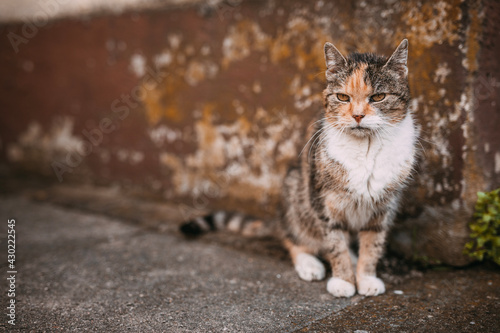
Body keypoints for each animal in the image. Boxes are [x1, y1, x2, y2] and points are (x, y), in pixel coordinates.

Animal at [180, 40, 418, 296]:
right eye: (342, 97)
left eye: (379, 97)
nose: (357, 115)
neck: (366, 148)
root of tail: (279, 217)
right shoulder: (322, 202)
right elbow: (335, 245)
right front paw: (343, 281)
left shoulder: (384, 208)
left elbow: (373, 245)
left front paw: (366, 278)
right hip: (297, 194)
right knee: (293, 237)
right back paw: (309, 263)